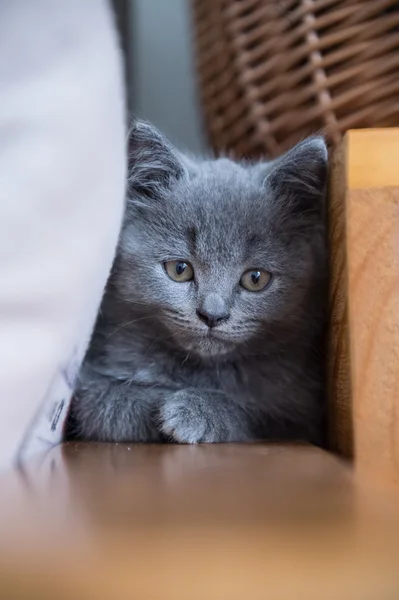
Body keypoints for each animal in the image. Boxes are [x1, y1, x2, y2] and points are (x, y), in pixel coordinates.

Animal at [67, 119, 330, 446]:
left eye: (256, 278)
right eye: (179, 269)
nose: (212, 315)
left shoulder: (303, 416)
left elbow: (257, 415)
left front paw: (197, 410)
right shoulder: (91, 379)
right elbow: (104, 405)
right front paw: (157, 403)